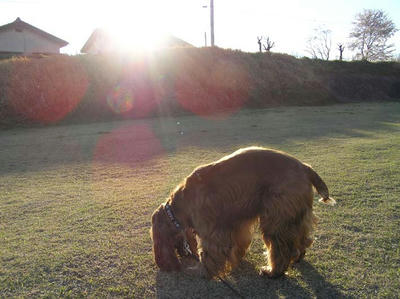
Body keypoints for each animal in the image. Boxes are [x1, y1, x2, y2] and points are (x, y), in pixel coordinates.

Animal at [152, 147, 336, 278]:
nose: (162, 266)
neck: (180, 205)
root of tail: (305, 167)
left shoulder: (212, 233)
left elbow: (208, 254)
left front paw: (203, 272)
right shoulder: (237, 224)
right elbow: (238, 244)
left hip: (277, 220)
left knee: (281, 249)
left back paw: (273, 271)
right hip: (294, 218)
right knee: (302, 240)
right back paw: (298, 256)